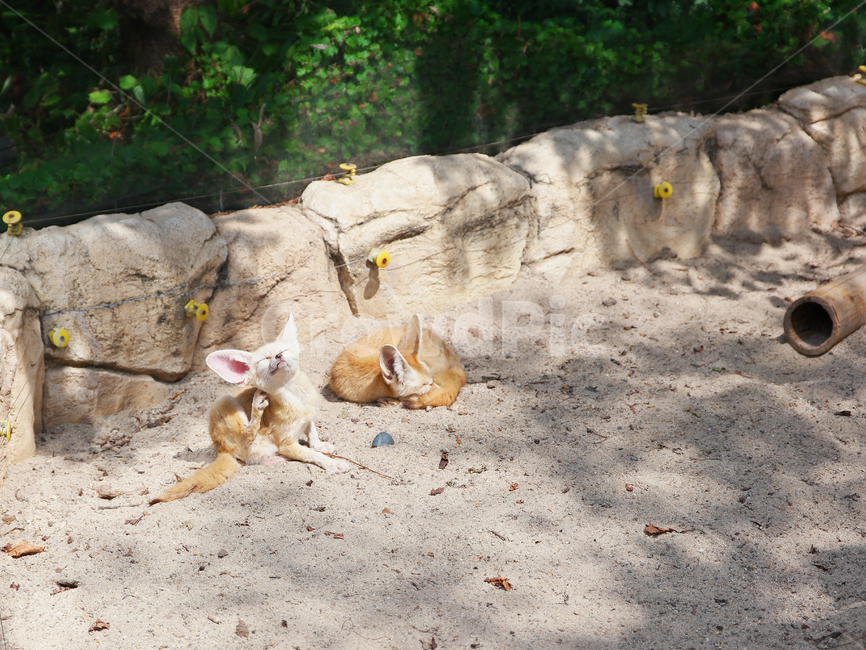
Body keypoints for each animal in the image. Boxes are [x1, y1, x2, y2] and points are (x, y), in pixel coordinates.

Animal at [151, 314, 350, 504]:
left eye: (283, 351)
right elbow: (312, 454)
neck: (297, 397)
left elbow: (312, 431)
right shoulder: (287, 443)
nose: (278, 356)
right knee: (251, 439)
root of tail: (221, 449)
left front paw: (319, 444)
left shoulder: (308, 415)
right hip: (223, 402)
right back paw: (257, 410)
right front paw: (330, 462)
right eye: (264, 359)